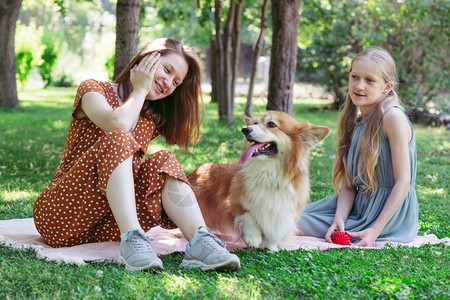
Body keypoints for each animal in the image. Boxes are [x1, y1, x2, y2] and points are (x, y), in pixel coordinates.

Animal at [188, 110, 328, 251]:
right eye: (255, 123)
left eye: (271, 124)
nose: (244, 129)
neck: (269, 172)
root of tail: (195, 172)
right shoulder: (233, 202)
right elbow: (247, 215)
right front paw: (253, 238)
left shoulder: (283, 212)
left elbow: (274, 232)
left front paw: (271, 248)